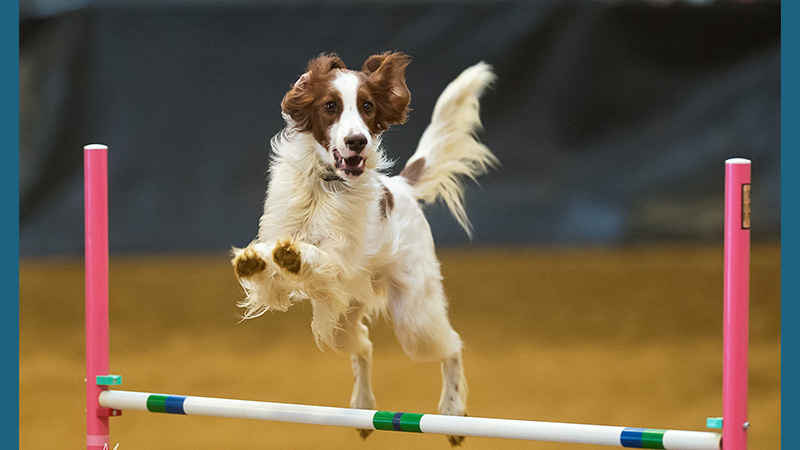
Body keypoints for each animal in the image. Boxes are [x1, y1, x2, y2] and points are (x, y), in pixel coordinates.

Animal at [228, 51, 496, 444]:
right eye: (330, 106)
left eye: (367, 106)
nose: (357, 141)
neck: (324, 185)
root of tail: (401, 186)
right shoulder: (284, 272)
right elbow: (267, 266)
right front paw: (254, 260)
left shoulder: (338, 266)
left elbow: (318, 256)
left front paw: (295, 254)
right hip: (340, 325)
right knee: (365, 344)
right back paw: (363, 406)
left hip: (415, 322)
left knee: (453, 346)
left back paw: (453, 411)